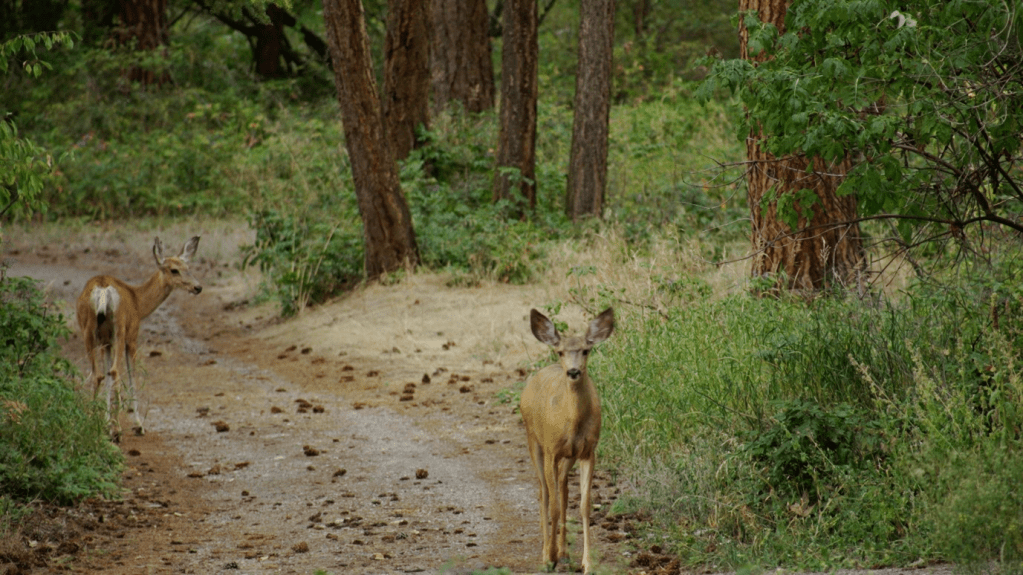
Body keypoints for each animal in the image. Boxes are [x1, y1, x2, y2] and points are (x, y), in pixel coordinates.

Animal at [76, 236, 202, 437]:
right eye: (174, 270)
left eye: (188, 267)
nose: (198, 287)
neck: (139, 303)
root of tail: (103, 289)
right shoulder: (132, 336)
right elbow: (132, 377)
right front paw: (137, 425)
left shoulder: (105, 342)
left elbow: (107, 378)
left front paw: (105, 422)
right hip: (120, 329)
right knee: (115, 371)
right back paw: (117, 430)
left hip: (87, 330)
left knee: (98, 374)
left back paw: (92, 424)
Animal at [520, 307, 614, 574]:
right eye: (561, 351)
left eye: (585, 350)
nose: (573, 371)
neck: (572, 422)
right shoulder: (551, 449)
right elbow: (552, 504)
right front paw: (548, 557)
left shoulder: (588, 451)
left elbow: (584, 505)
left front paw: (587, 563)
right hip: (533, 439)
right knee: (544, 491)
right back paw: (548, 553)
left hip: (568, 456)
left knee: (562, 487)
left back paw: (563, 552)